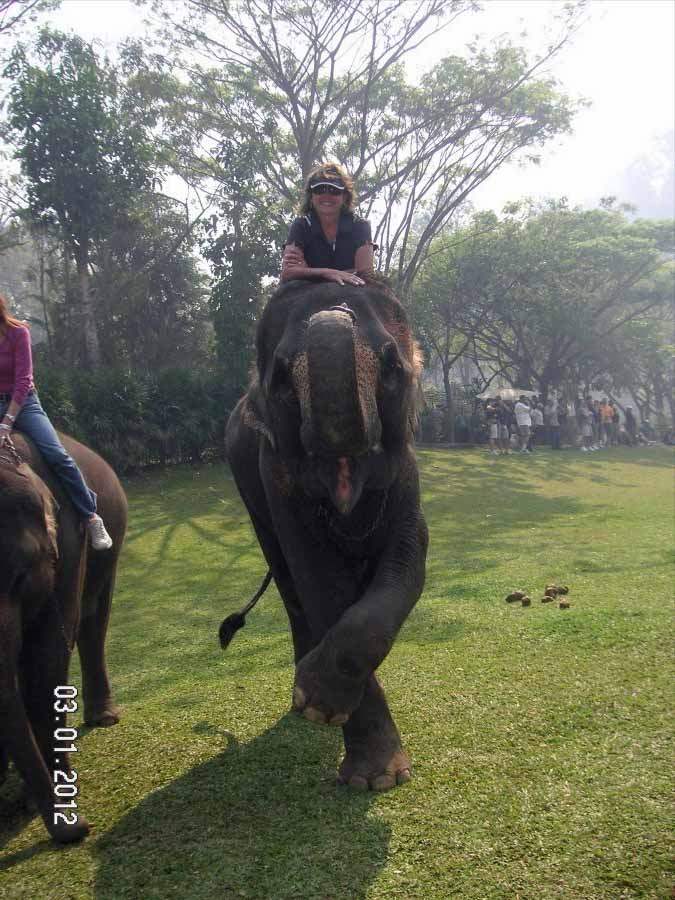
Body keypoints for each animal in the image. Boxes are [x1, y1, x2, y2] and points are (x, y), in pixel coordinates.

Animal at [0, 432, 126, 840]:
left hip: (109, 545)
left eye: (21, 576)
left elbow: (46, 656)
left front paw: (61, 783)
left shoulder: (70, 539)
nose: (82, 827)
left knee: (92, 619)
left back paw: (103, 718)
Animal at [224, 278, 430, 792]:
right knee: (288, 580)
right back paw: (299, 696)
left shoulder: (406, 465)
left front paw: (382, 777)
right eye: (280, 380)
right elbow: (318, 577)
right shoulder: (274, 472)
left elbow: (408, 556)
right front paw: (321, 712)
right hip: (247, 492)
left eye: (392, 367)